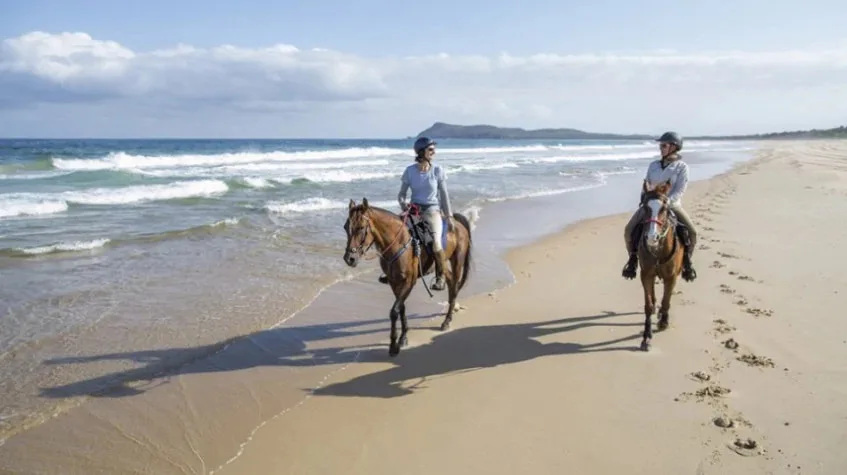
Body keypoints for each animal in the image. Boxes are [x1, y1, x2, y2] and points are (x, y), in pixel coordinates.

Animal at [342, 198, 474, 357]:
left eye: (361, 228)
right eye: (345, 227)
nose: (349, 258)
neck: (398, 243)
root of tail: (456, 222)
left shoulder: (409, 282)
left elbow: (394, 311)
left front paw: (393, 345)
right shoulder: (394, 282)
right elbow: (401, 309)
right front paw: (403, 338)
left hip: (457, 262)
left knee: (454, 287)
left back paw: (447, 321)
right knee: (448, 280)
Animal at [633, 180, 686, 352]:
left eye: (664, 208)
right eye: (645, 207)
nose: (652, 237)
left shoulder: (671, 277)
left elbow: (666, 301)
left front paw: (664, 322)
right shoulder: (646, 275)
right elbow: (649, 305)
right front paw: (646, 338)